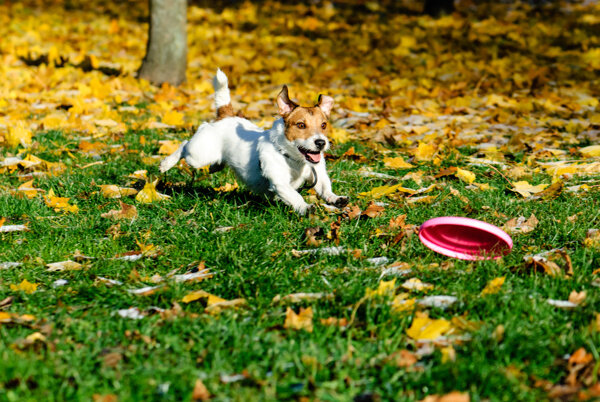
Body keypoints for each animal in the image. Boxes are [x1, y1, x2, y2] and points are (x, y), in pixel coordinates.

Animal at [159, 69, 350, 215]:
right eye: (301, 125)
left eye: (324, 125)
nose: (321, 143)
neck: (293, 159)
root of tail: (226, 115)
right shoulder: (280, 183)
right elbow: (295, 196)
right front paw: (305, 207)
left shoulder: (318, 174)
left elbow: (325, 189)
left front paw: (336, 199)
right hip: (198, 156)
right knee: (184, 144)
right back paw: (166, 163)